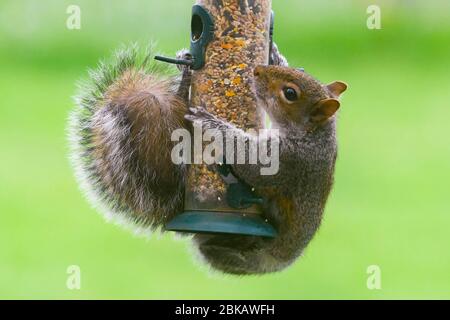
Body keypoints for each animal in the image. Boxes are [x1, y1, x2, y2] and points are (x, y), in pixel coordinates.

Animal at [68, 43, 346, 274]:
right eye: (298, 71)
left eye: (290, 93)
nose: (256, 70)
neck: (313, 134)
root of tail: (276, 260)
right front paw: (276, 53)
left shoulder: (289, 161)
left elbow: (252, 164)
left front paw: (213, 122)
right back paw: (184, 83)